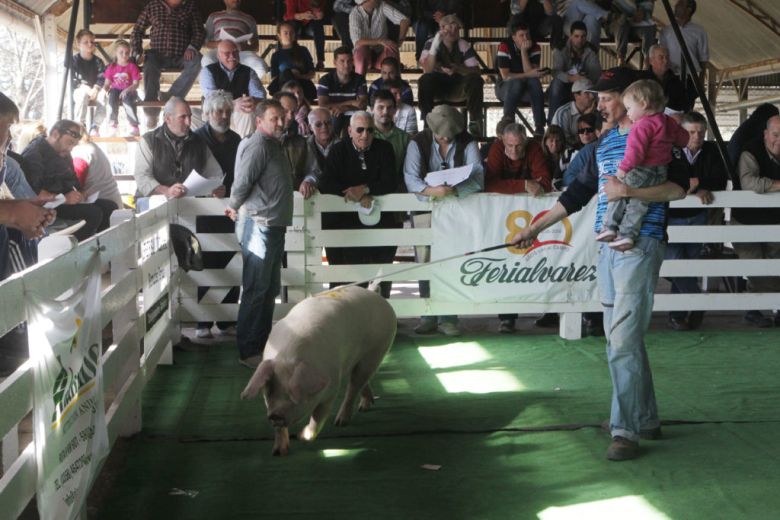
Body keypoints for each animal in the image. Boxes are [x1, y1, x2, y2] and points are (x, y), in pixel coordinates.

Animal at [239, 284, 396, 456]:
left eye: (292, 394)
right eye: (269, 392)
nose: (275, 415)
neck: (287, 356)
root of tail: (375, 295)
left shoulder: (331, 387)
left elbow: (318, 416)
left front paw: (302, 436)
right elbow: (281, 429)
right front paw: (278, 452)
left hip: (377, 350)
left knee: (354, 386)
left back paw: (341, 422)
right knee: (361, 381)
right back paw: (364, 407)